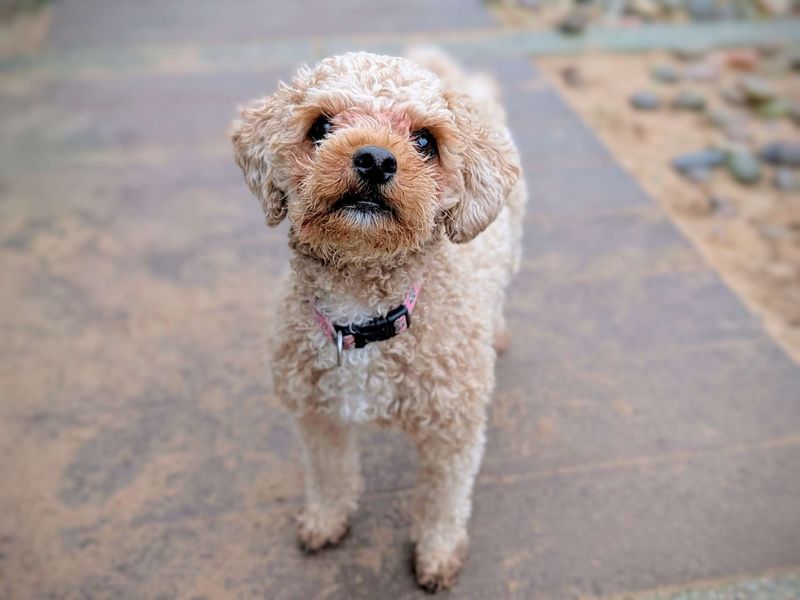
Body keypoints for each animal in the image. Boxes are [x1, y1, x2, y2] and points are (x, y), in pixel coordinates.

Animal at [231, 49, 524, 592]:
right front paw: (325, 521)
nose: (375, 158)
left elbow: (443, 500)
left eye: (425, 141)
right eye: (320, 126)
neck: (364, 316)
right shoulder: (317, 416)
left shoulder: (453, 434)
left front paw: (438, 555)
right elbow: (330, 475)